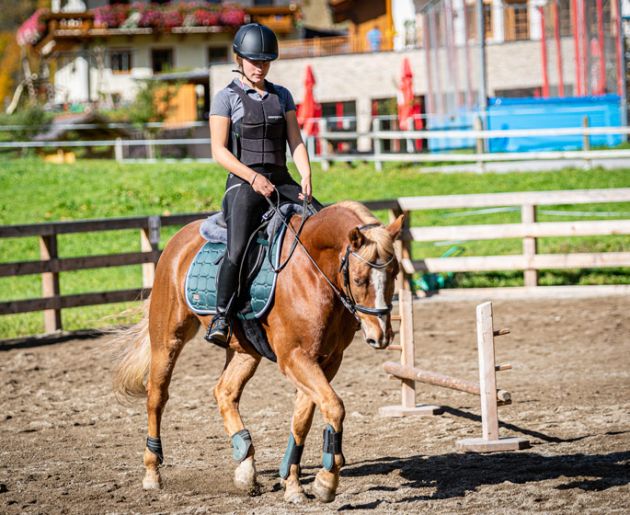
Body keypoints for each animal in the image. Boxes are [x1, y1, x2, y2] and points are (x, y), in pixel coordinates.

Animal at [112, 202, 404, 504]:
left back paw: (245, 466)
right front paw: (326, 481)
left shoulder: (327, 360)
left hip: (245, 351)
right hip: (168, 339)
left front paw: (292, 483)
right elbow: (334, 407)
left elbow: (303, 419)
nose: (381, 335)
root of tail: (178, 239)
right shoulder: (294, 357)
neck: (313, 271)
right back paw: (152, 472)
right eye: (359, 279)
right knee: (157, 397)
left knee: (225, 392)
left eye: (395, 274)